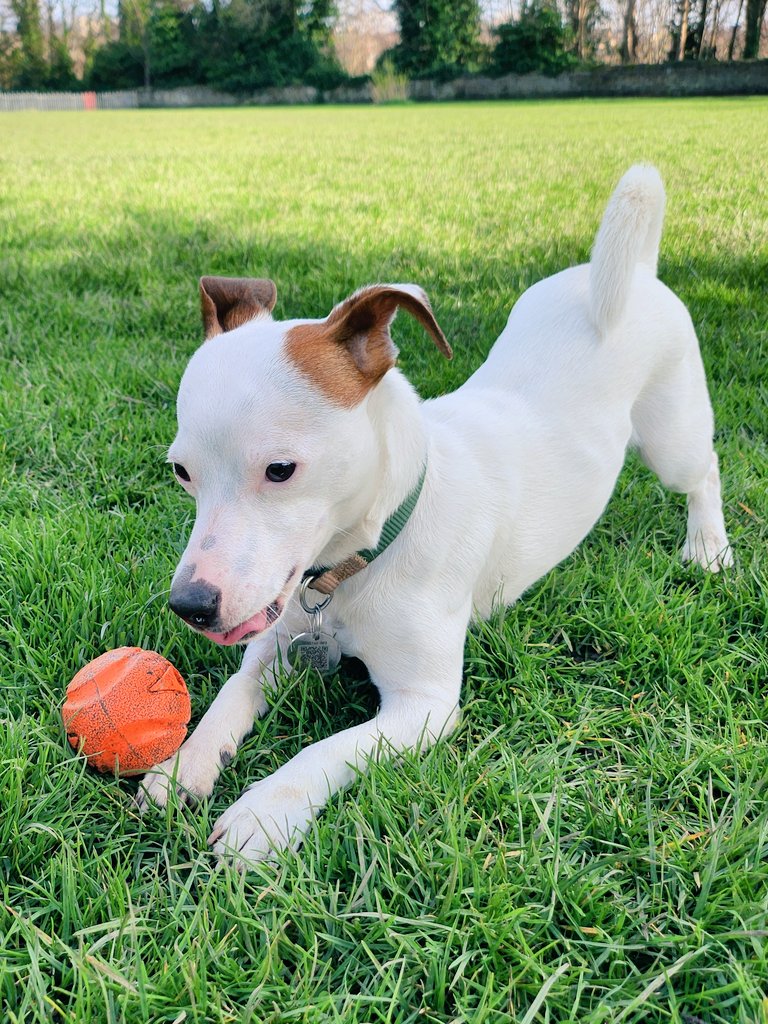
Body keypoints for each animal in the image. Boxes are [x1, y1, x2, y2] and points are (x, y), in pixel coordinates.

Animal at [137, 165, 733, 864]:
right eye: (182, 472)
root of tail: (628, 274)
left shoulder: (423, 707)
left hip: (671, 438)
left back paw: (710, 546)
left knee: (703, 470)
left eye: (280, 470)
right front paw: (184, 765)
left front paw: (264, 812)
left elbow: (325, 751)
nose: (191, 606)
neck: (363, 559)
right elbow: (230, 697)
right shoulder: (274, 644)